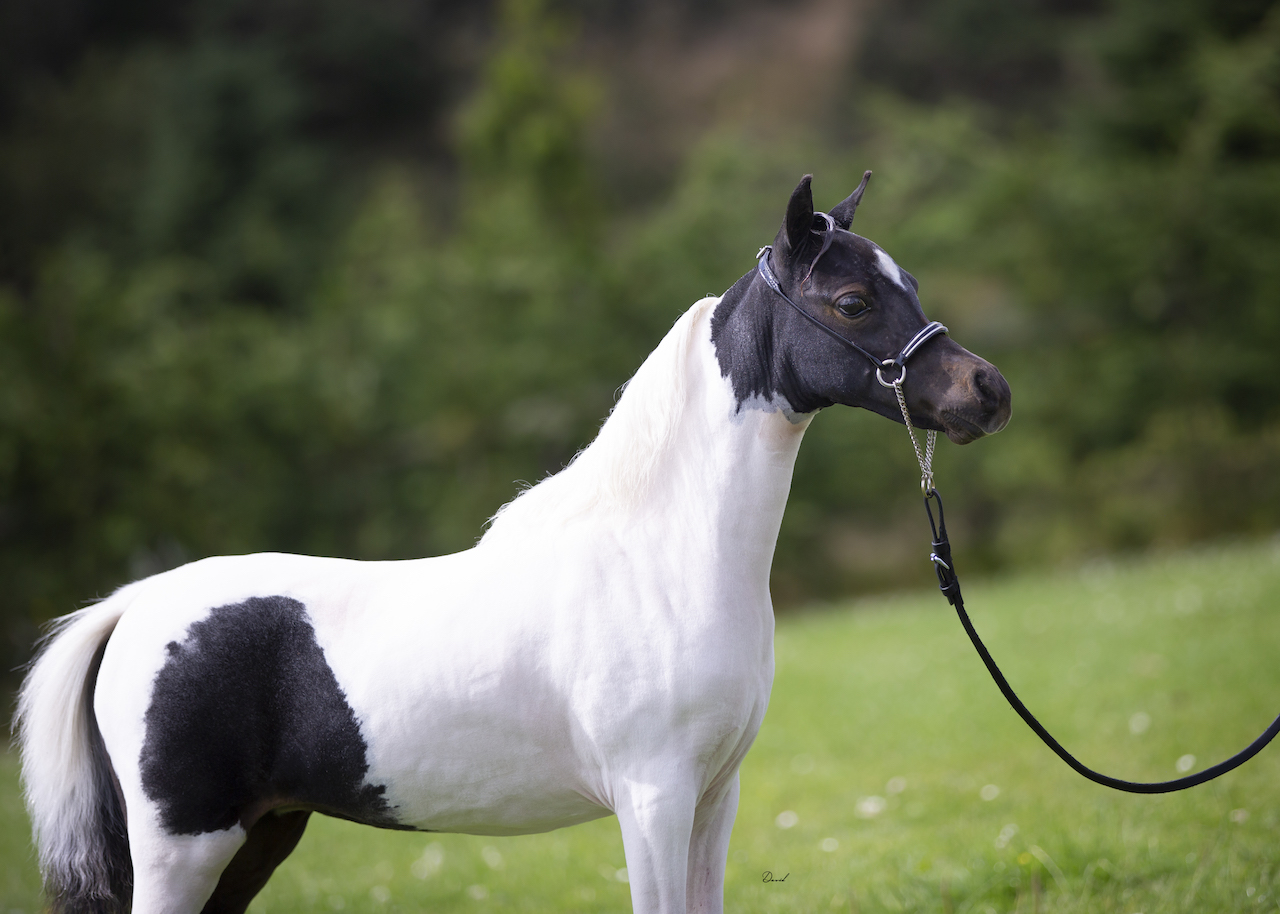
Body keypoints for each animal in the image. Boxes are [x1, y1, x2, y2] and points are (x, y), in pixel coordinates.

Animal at [16, 173, 1011, 914]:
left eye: (908, 287)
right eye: (851, 300)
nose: (987, 392)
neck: (666, 560)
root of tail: (133, 608)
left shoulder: (711, 800)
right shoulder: (654, 799)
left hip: (258, 837)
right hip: (184, 851)